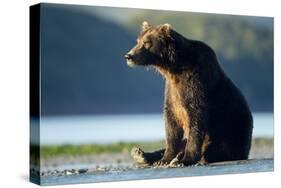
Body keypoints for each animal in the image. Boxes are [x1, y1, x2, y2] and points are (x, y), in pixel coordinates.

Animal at [124, 21, 252, 167]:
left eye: (147, 43)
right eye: (138, 41)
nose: (128, 56)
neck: (174, 68)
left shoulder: (196, 81)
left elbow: (196, 117)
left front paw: (186, 159)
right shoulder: (172, 90)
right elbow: (171, 123)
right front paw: (164, 159)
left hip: (233, 131)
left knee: (218, 147)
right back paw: (141, 154)